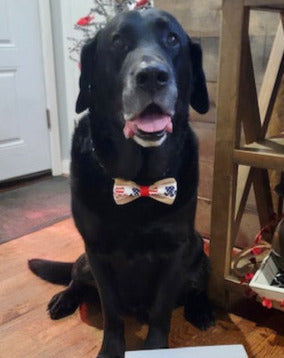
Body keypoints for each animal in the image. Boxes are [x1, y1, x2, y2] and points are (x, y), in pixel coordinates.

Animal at [30, 8, 214, 358]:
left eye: (172, 39)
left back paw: (202, 310)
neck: (140, 181)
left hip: (197, 247)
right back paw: (64, 299)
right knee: (75, 276)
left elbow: (161, 313)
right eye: (117, 42)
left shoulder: (175, 251)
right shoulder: (97, 250)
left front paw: (155, 347)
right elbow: (111, 311)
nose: (152, 75)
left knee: (197, 287)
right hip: (85, 262)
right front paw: (111, 350)